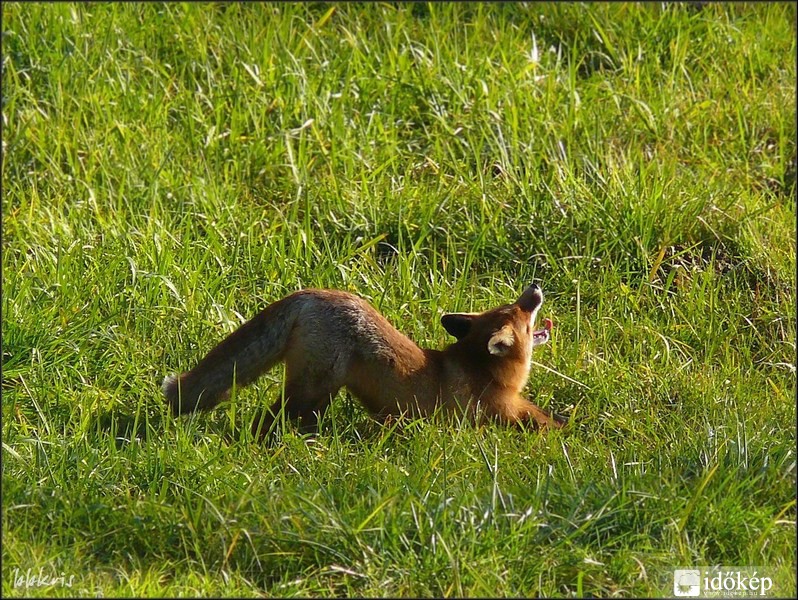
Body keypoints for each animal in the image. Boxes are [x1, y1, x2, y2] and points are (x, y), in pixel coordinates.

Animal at [161, 284, 564, 438]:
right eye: (523, 314)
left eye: (514, 303)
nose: (535, 287)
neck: (482, 371)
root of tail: (312, 294)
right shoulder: (501, 413)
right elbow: (544, 424)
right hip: (315, 389)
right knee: (270, 419)